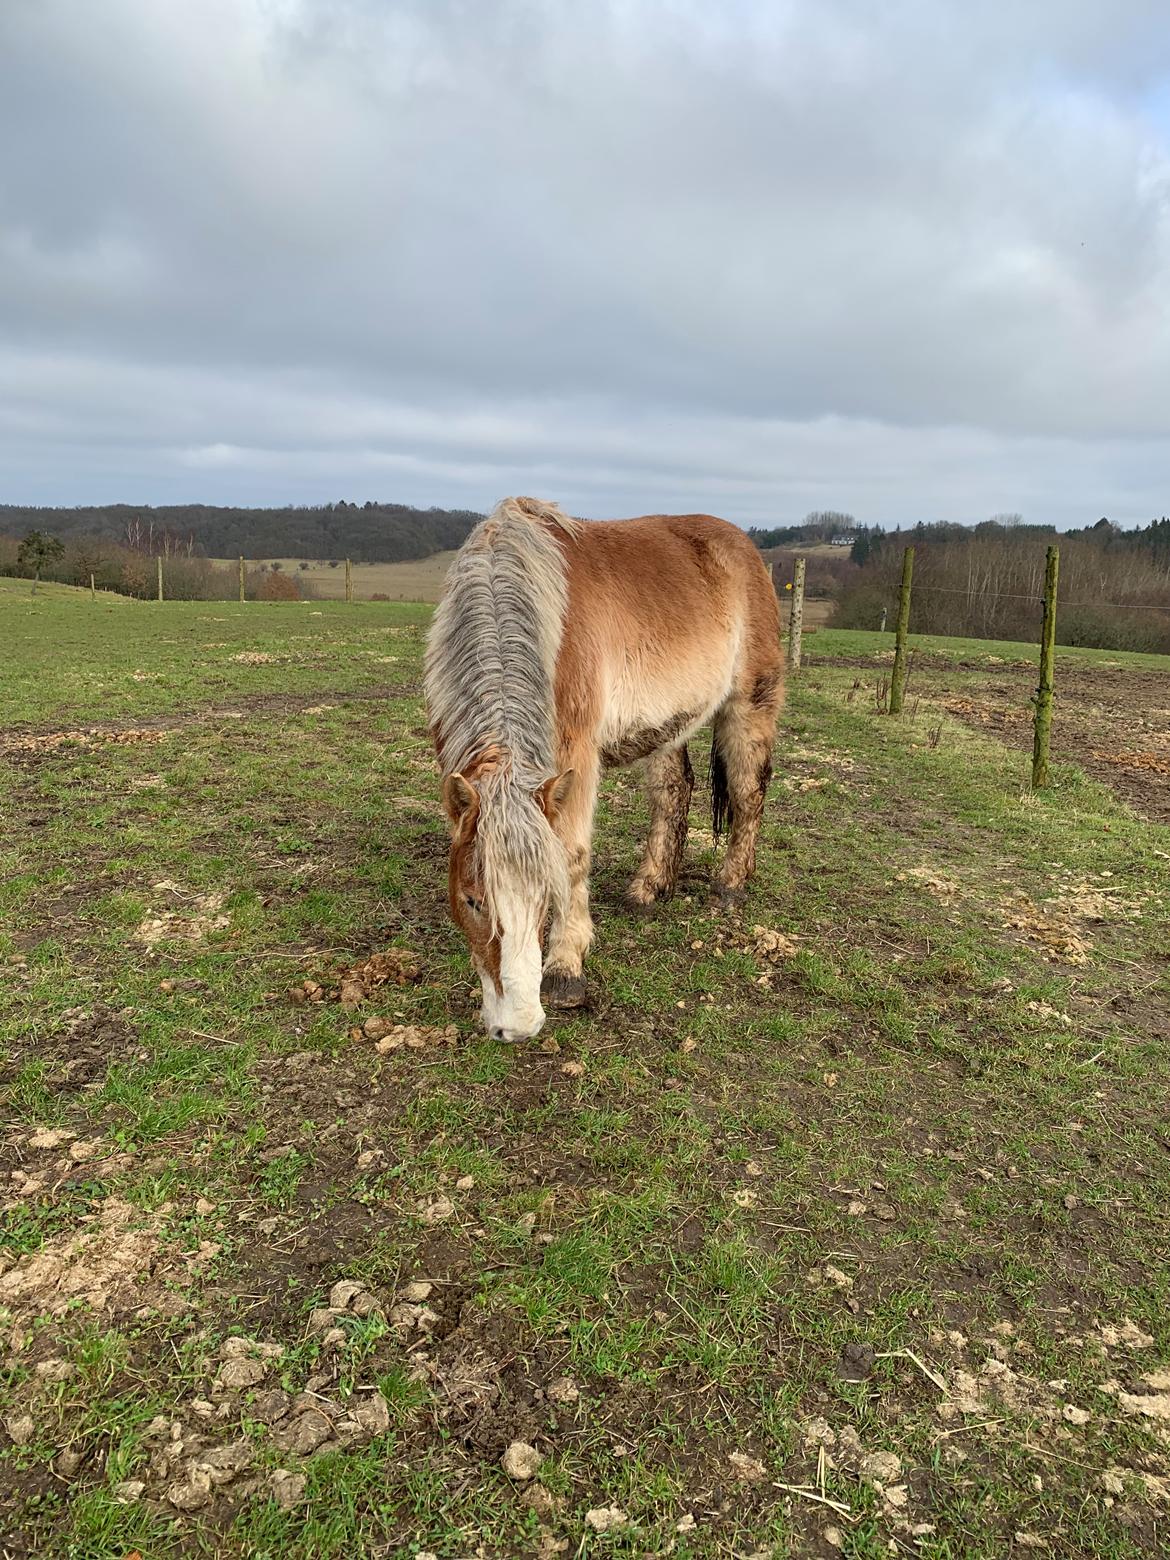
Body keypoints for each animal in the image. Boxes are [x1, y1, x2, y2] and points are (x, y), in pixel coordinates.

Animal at [424, 492, 789, 1042]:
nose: (519, 1026)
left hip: (750, 705)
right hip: (669, 723)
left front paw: (565, 970)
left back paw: (730, 885)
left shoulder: (574, 757)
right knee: (674, 791)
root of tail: (742, 546)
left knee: (749, 793)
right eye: (471, 900)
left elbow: (572, 854)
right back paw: (649, 889)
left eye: (546, 894)